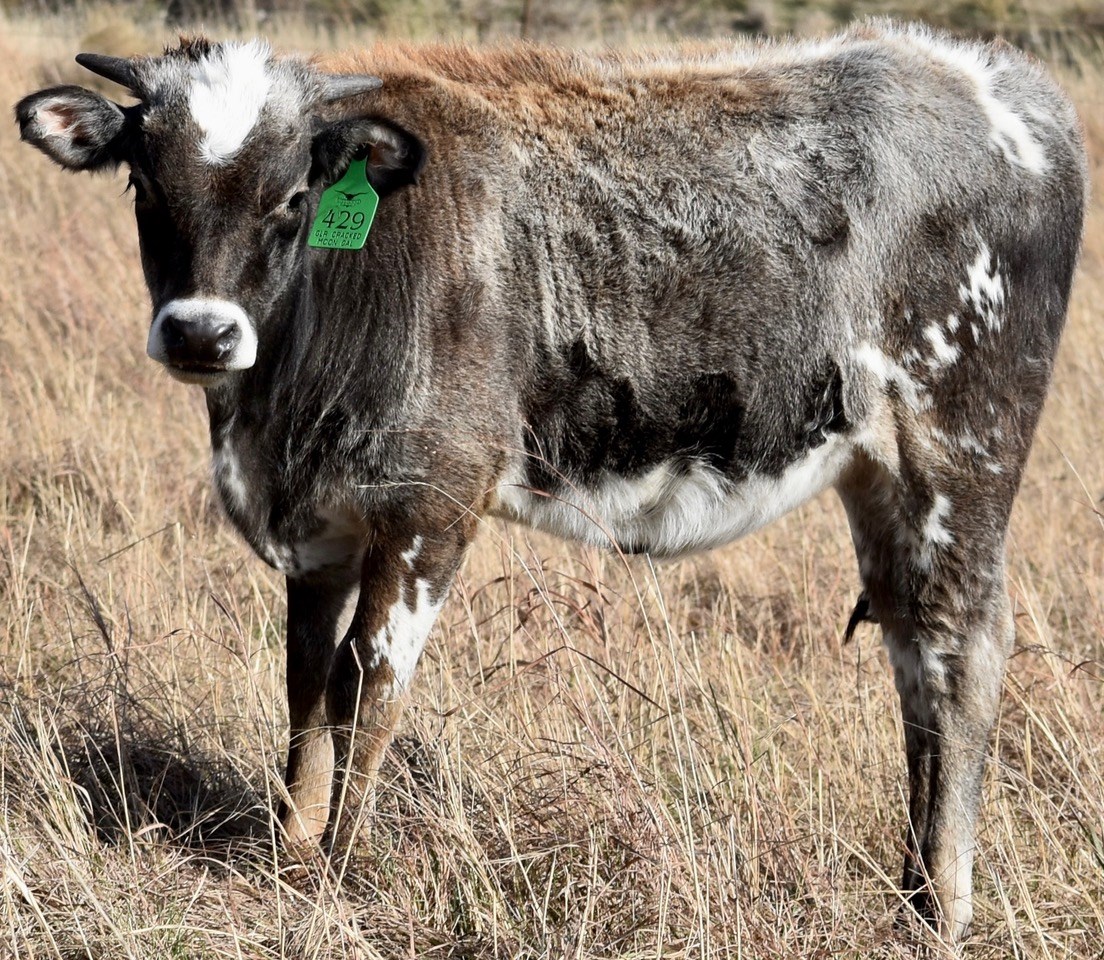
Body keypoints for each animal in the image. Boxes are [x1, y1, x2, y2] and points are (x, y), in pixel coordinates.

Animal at [15, 20, 1086, 943]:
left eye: (291, 198)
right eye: (145, 185)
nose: (201, 333)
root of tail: (983, 74)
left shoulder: (431, 505)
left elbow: (370, 682)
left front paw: (338, 870)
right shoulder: (318, 531)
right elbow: (305, 685)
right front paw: (291, 849)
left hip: (960, 453)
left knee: (959, 653)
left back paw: (942, 909)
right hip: (883, 477)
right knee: (913, 655)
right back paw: (910, 896)